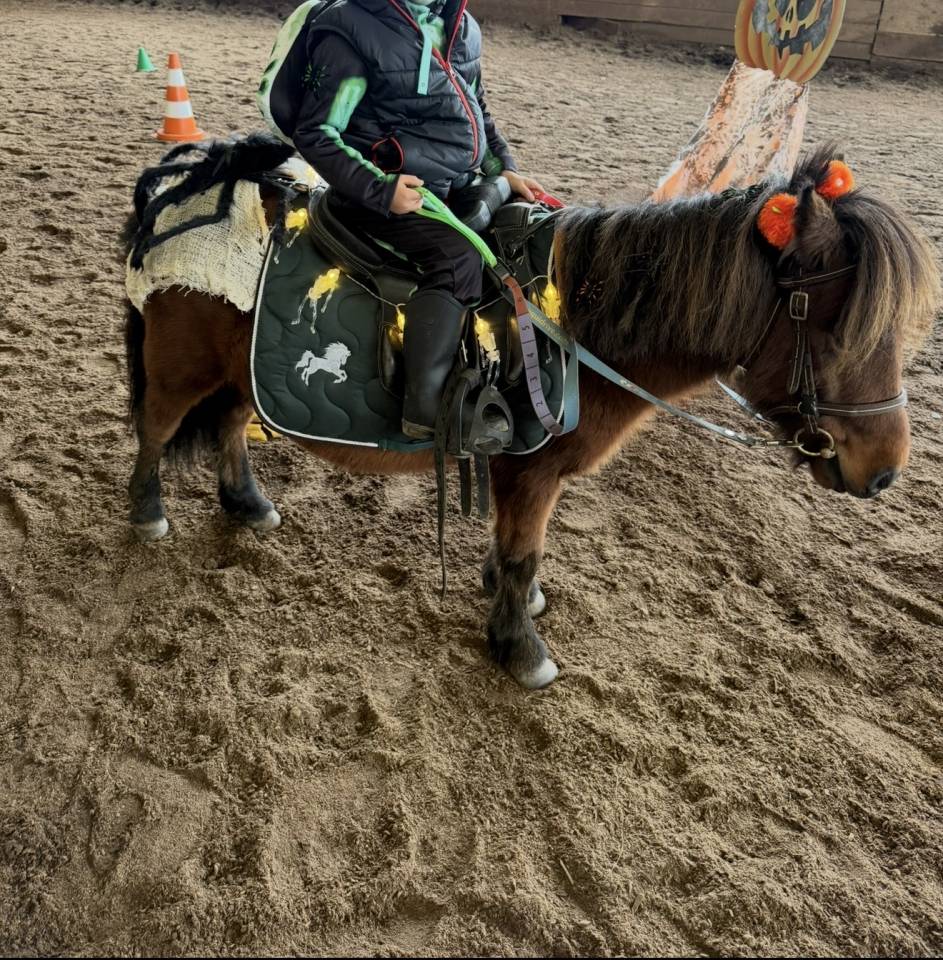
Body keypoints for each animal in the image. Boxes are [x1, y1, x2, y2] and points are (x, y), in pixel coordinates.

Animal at [123, 145, 939, 689]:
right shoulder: (533, 468)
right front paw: (520, 647)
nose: (884, 471)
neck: (580, 324)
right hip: (180, 365)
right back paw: (149, 512)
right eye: (843, 333)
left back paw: (246, 502)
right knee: (156, 430)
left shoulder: (517, 471)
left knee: (231, 426)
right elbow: (523, 556)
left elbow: (514, 552)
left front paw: (506, 597)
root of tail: (187, 186)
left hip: (236, 371)